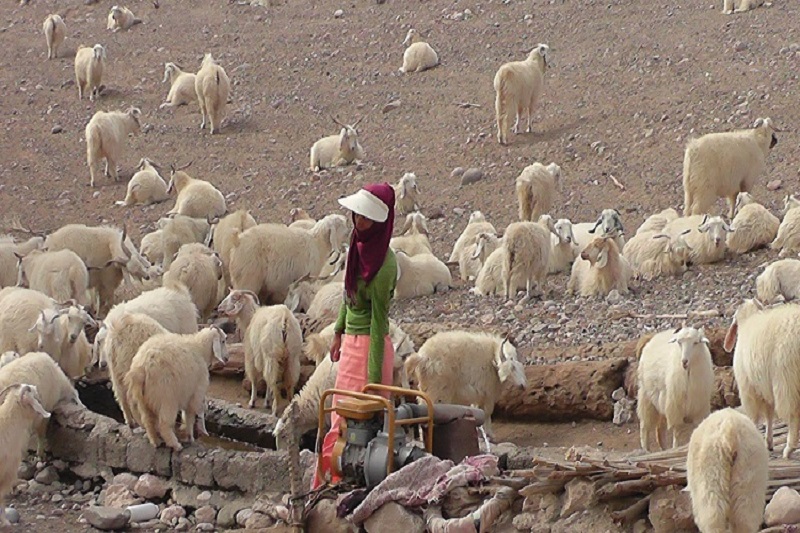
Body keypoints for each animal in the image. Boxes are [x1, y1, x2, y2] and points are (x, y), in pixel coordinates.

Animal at [728, 300, 800, 458]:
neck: (749, 319)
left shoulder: (749, 389)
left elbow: (754, 416)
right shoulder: (764, 387)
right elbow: (769, 414)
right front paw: (768, 442)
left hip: (787, 380)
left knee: (793, 415)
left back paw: (789, 449)